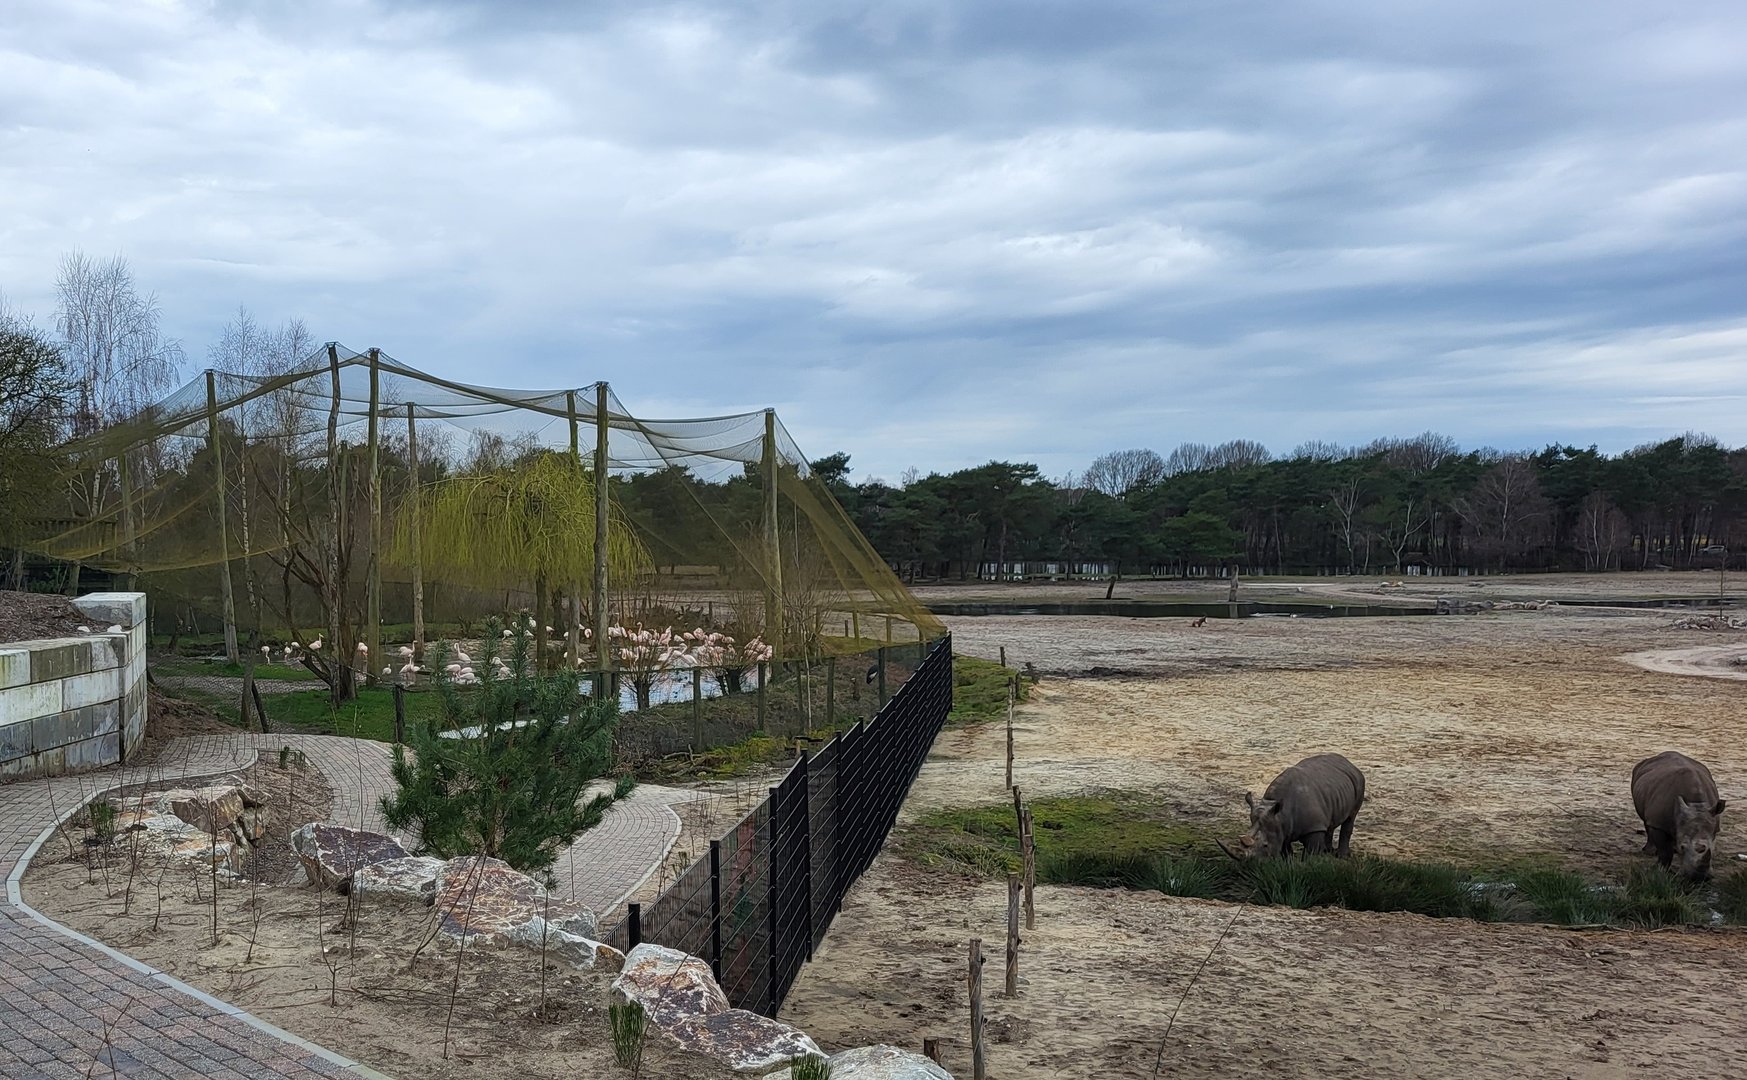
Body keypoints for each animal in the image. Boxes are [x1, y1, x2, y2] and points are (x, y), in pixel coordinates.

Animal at [1220, 753, 1366, 859]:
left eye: (1265, 846)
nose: (1250, 867)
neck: (1280, 813)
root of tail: (1349, 762)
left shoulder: (1313, 827)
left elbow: (1311, 852)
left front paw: (1311, 865)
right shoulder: (1281, 827)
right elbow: (1284, 850)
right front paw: (1288, 864)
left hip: (1359, 780)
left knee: (1351, 817)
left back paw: (1341, 856)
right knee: (1330, 822)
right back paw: (1328, 851)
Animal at [1631, 751, 1726, 880]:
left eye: (1713, 849)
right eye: (1682, 847)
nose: (1699, 878)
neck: (1696, 804)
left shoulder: (1713, 824)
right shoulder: (1658, 823)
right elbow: (1665, 852)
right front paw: (1660, 871)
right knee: (1646, 820)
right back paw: (1649, 851)